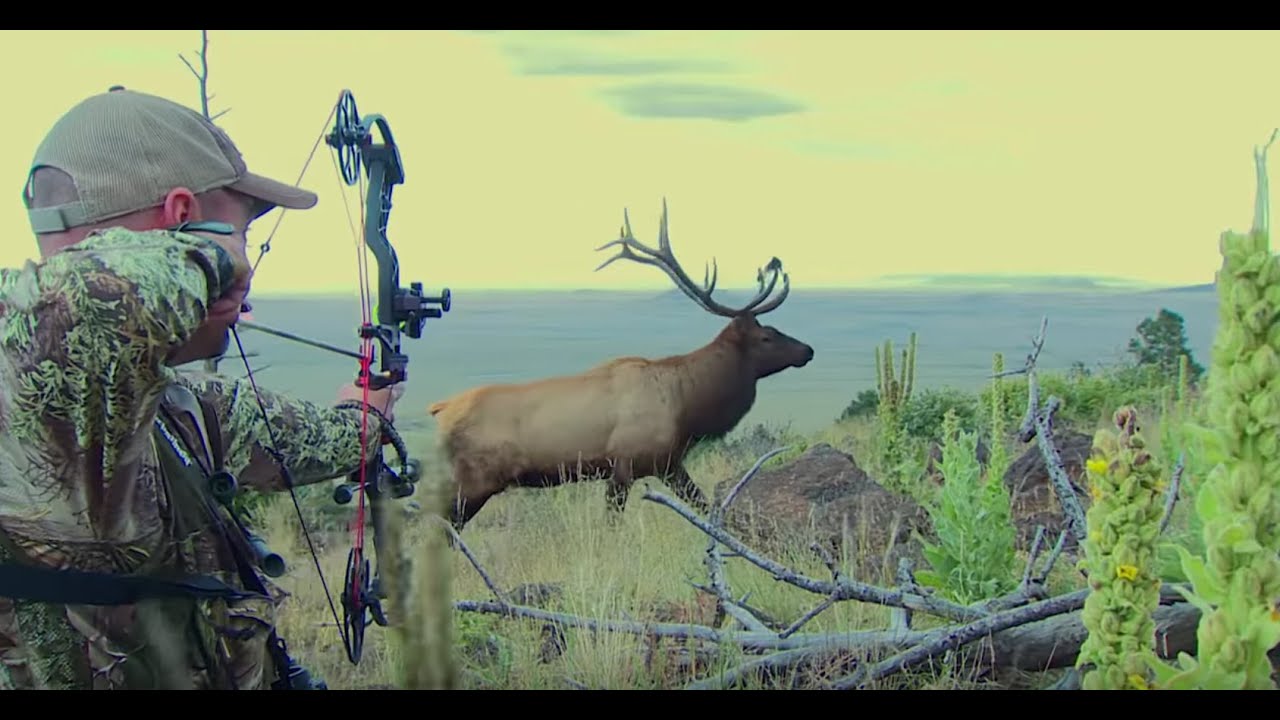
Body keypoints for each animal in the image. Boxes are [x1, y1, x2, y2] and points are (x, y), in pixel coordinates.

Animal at [426, 199, 815, 532]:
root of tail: (439, 409)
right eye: (767, 336)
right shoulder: (624, 465)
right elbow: (613, 525)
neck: (687, 407)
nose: (807, 350)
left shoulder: (668, 463)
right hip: (472, 481)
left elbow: (703, 506)